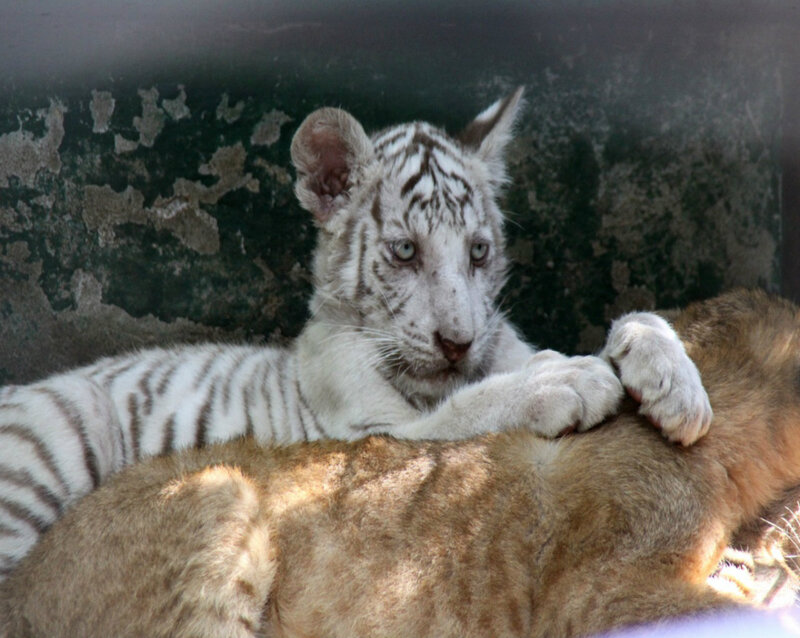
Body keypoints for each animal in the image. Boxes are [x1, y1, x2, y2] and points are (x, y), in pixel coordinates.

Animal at [0, 88, 711, 580]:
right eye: (404, 251)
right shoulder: (377, 434)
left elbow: (631, 321)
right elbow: (473, 406)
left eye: (479, 251)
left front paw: (675, 384)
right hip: (49, 451)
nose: (458, 342)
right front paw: (566, 379)